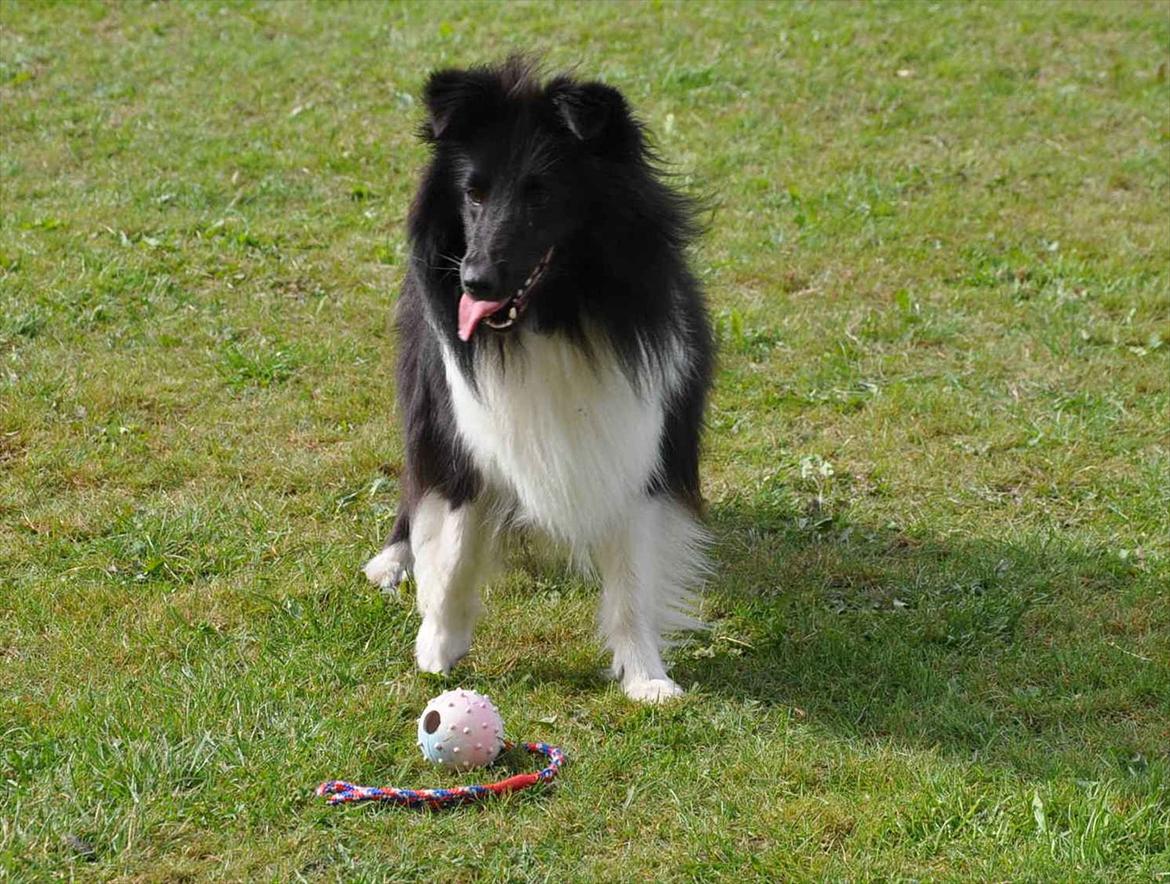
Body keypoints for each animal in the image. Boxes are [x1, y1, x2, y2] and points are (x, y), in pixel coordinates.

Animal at [365, 57, 711, 706]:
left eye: (542, 193)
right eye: (472, 192)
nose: (474, 282)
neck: (556, 319)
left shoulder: (638, 434)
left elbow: (633, 575)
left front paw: (646, 677)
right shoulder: (460, 426)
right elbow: (454, 547)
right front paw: (439, 647)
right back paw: (391, 560)